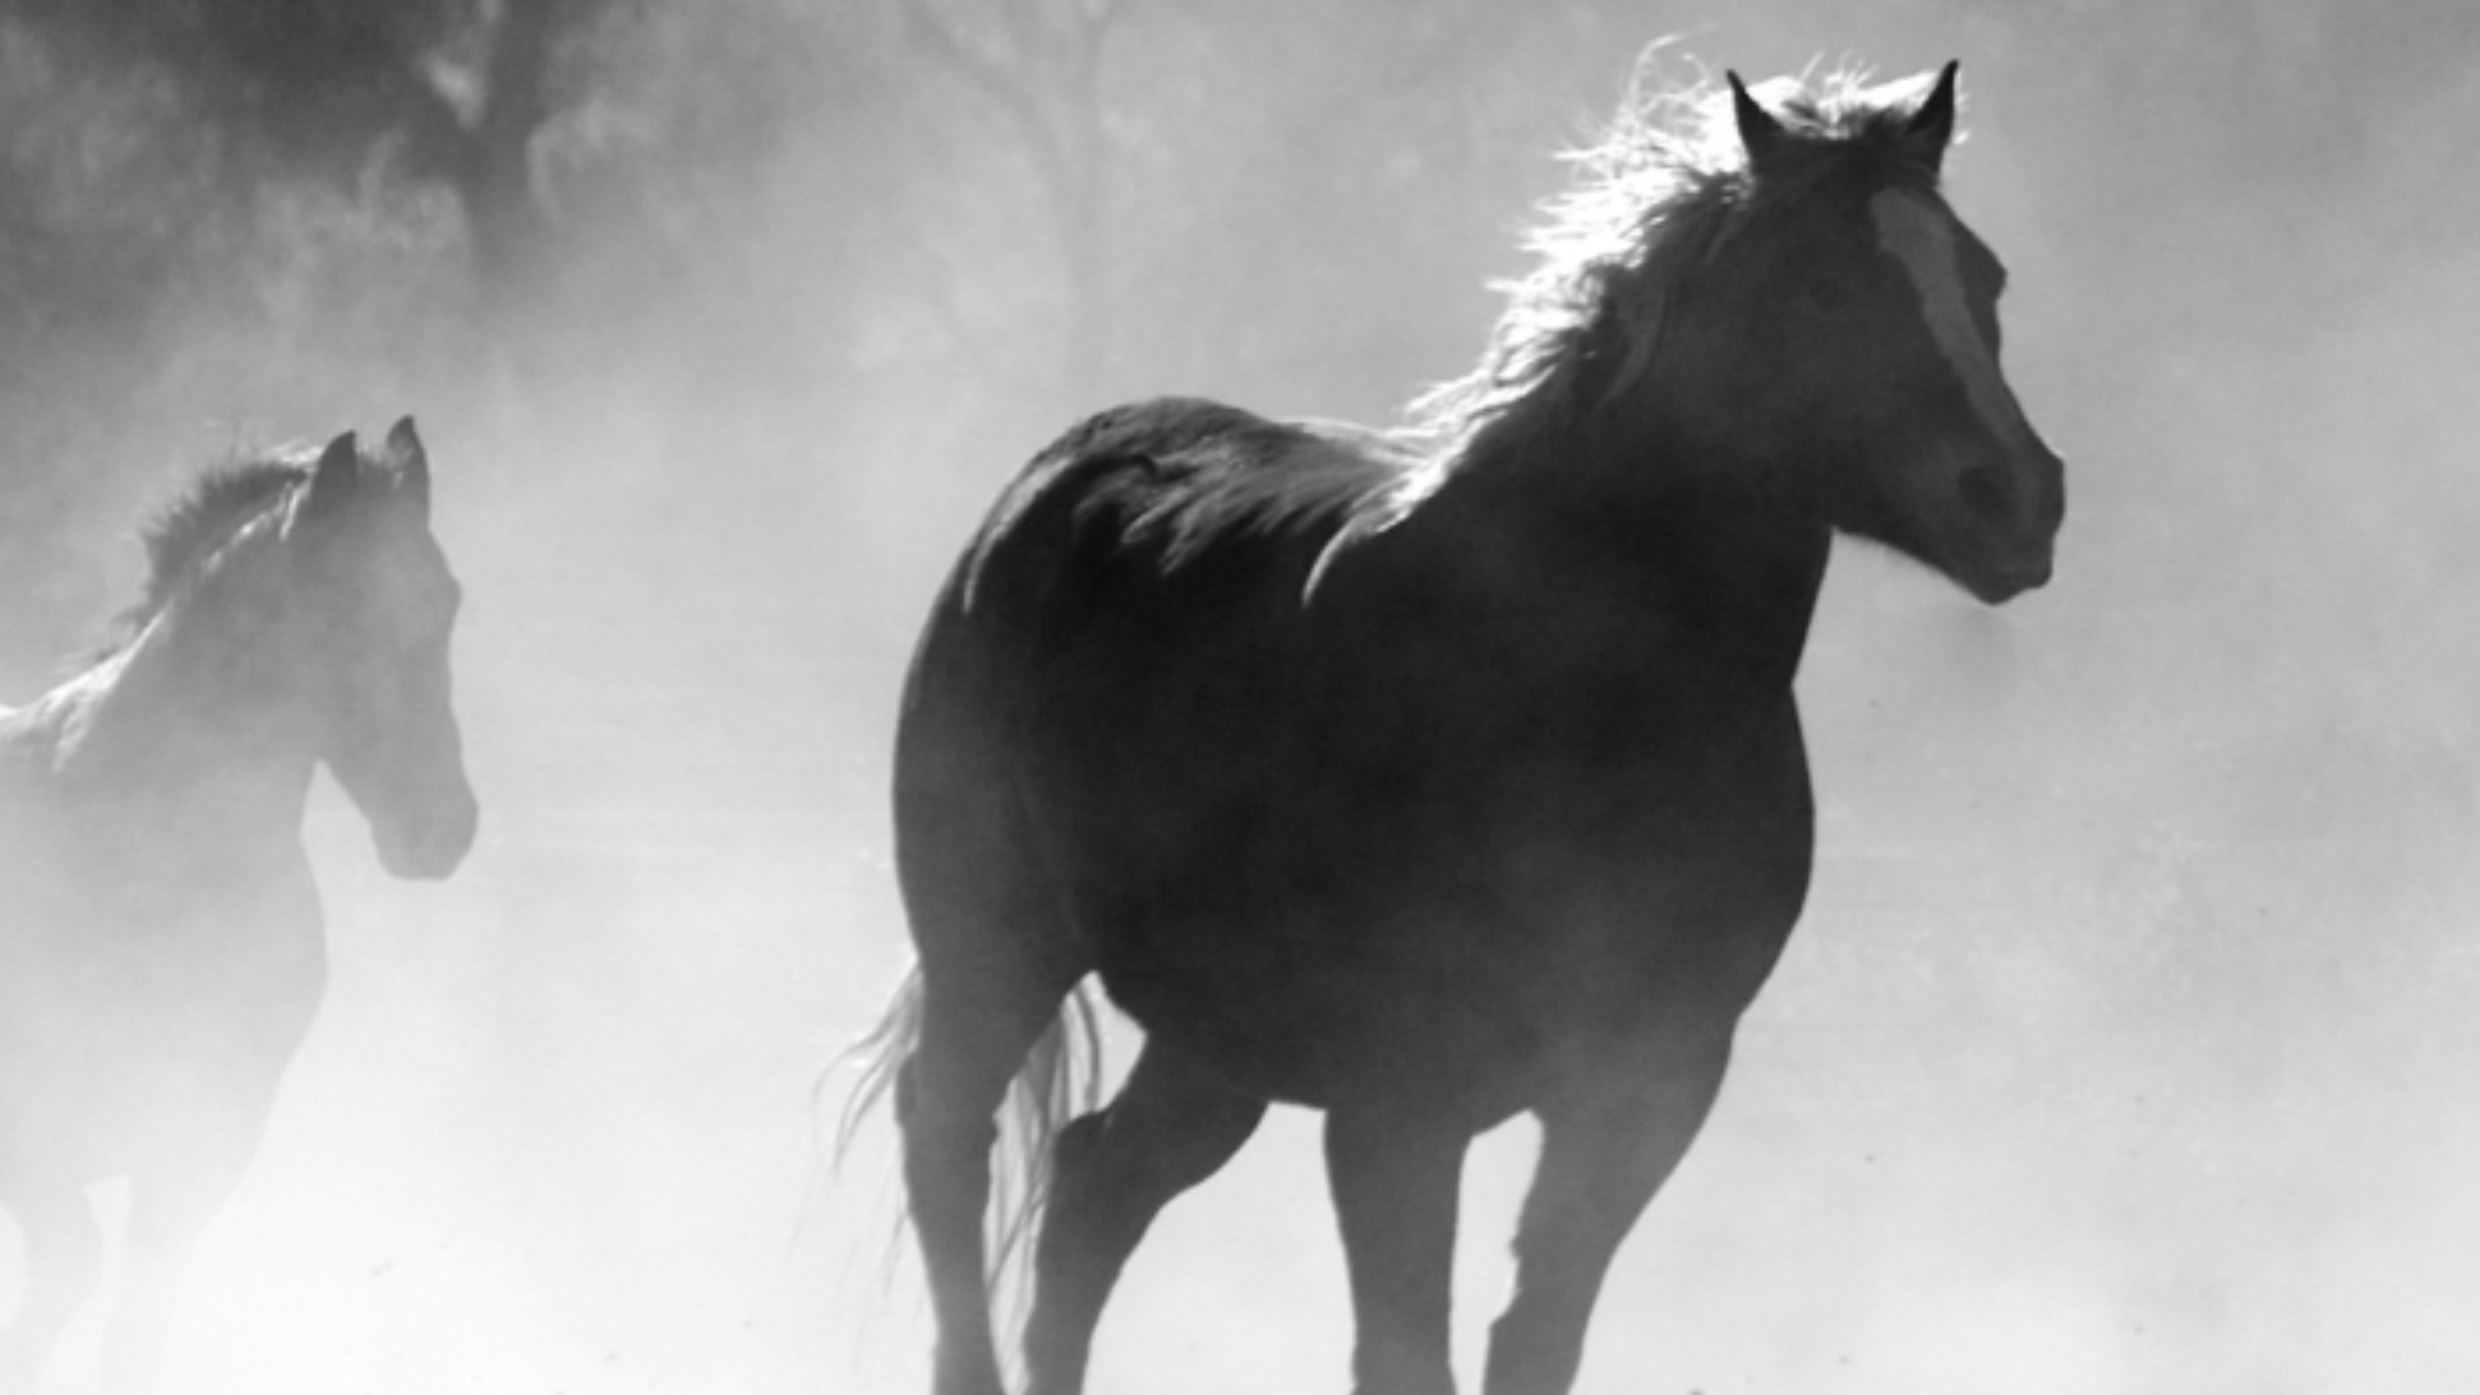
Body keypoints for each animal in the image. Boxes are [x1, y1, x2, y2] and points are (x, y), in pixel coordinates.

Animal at [0, 419, 476, 1393]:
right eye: (338, 607)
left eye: (446, 599)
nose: (443, 827)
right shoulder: (34, 1148)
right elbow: (64, 1283)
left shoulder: (205, 1143)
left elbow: (134, 1325)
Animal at [846, 61, 2064, 1395]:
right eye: (1820, 285)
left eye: (1983, 277)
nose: (2017, 498)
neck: (1581, 698)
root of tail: (1053, 480)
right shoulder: (1396, 1110)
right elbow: (1402, 1349)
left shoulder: (1645, 1089)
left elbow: (1534, 1338)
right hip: (994, 944)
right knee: (947, 1145)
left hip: (1211, 1039)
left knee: (1090, 1191)